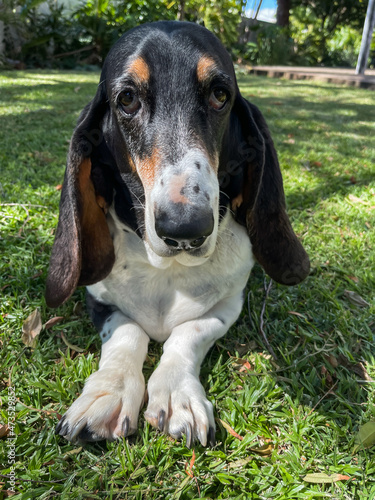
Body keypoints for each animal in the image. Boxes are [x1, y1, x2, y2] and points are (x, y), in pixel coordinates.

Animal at [45, 21, 310, 448]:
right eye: (127, 99)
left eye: (220, 95)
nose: (185, 227)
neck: (166, 271)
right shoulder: (99, 301)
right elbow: (128, 333)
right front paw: (107, 394)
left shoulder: (226, 307)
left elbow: (188, 333)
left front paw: (176, 395)